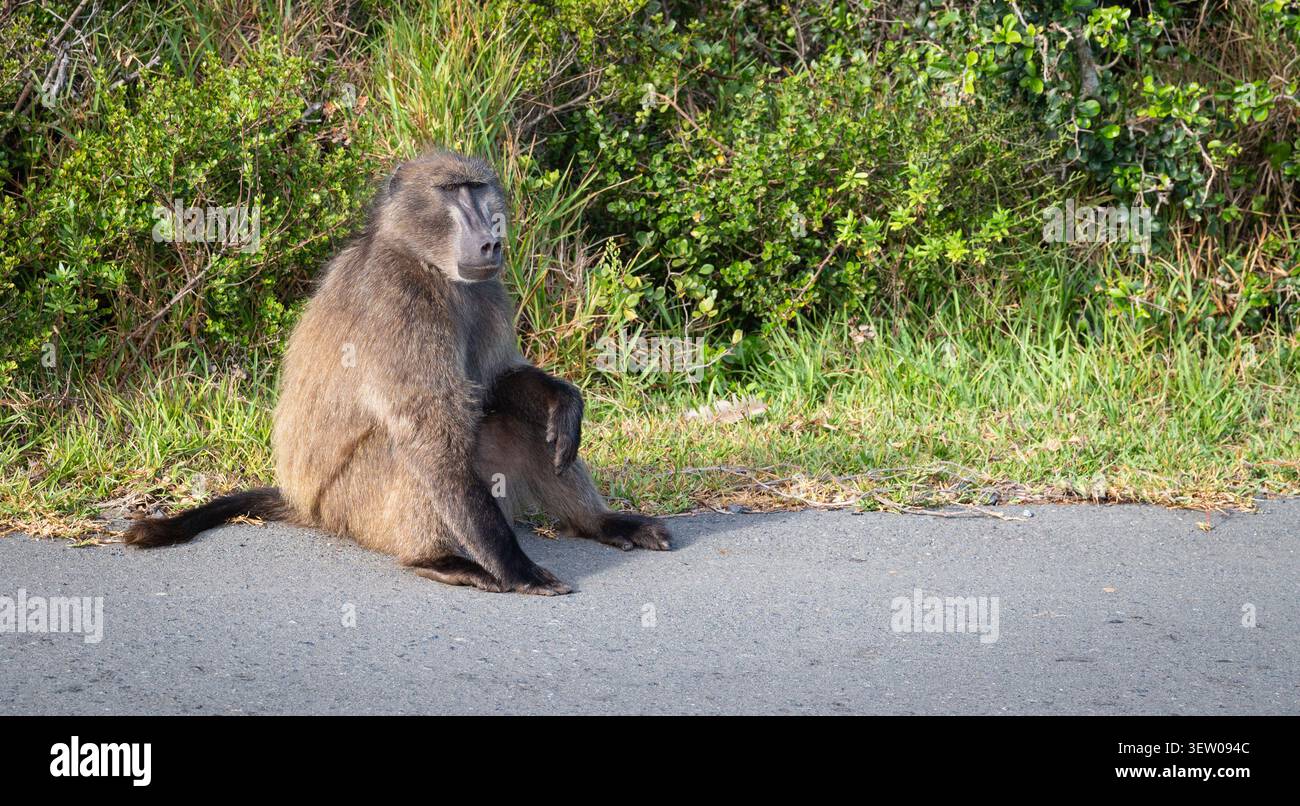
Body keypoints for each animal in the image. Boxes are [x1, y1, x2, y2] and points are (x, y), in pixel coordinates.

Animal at [124, 150, 671, 595]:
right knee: (411, 447)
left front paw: (565, 401)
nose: (491, 241)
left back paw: (602, 523)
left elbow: (499, 381)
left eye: (478, 188)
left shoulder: (488, 291)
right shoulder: (400, 302)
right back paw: (436, 559)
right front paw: (515, 568)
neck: (427, 263)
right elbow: (429, 431)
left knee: (520, 421)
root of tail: (304, 504)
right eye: (452, 191)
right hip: (353, 507)